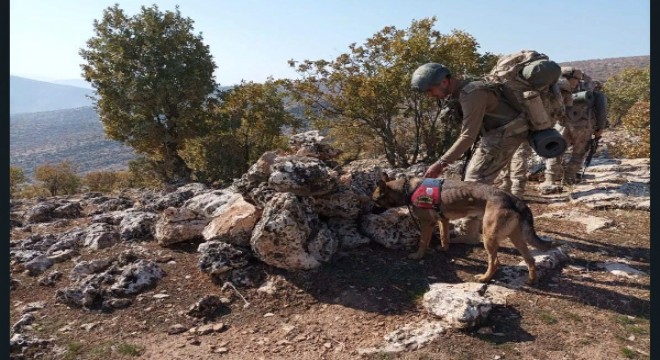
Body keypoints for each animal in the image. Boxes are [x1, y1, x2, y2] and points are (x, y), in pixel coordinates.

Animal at [374, 173, 556, 286]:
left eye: (375, 200)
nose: (371, 213)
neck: (406, 189)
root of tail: (513, 199)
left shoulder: (427, 223)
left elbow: (423, 242)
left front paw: (418, 255)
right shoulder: (443, 220)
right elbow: (444, 236)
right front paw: (443, 249)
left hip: (489, 236)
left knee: (495, 262)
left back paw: (484, 278)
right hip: (515, 237)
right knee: (530, 260)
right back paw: (531, 280)